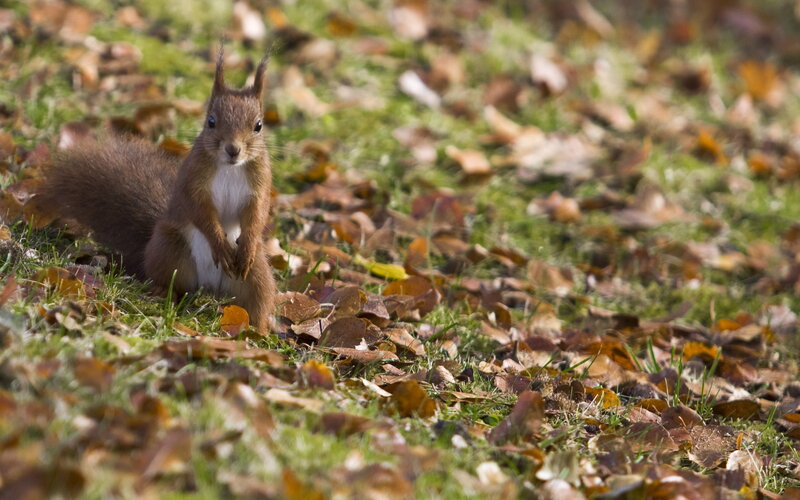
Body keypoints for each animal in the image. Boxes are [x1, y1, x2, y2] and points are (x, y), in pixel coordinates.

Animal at [40, 49, 277, 332]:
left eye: (258, 125)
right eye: (211, 121)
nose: (233, 149)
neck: (231, 168)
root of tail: (210, 286)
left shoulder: (260, 184)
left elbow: (257, 212)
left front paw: (248, 242)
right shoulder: (192, 181)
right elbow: (199, 210)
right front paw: (219, 243)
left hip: (256, 275)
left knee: (256, 302)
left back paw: (258, 330)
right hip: (169, 248)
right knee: (171, 281)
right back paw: (163, 293)